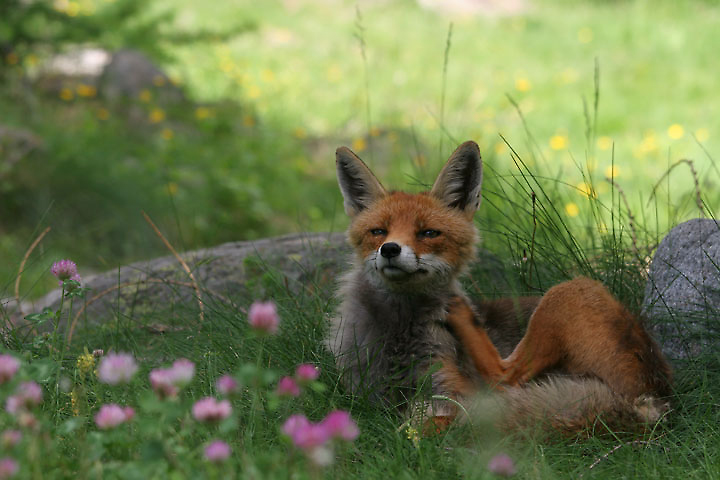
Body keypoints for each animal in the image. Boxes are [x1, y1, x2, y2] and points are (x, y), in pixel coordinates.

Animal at [328, 140, 676, 436]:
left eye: (428, 233)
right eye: (378, 231)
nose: (390, 249)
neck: (397, 338)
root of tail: (654, 398)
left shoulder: (451, 388)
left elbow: (433, 419)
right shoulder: (363, 392)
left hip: (568, 292)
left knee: (505, 375)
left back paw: (462, 312)